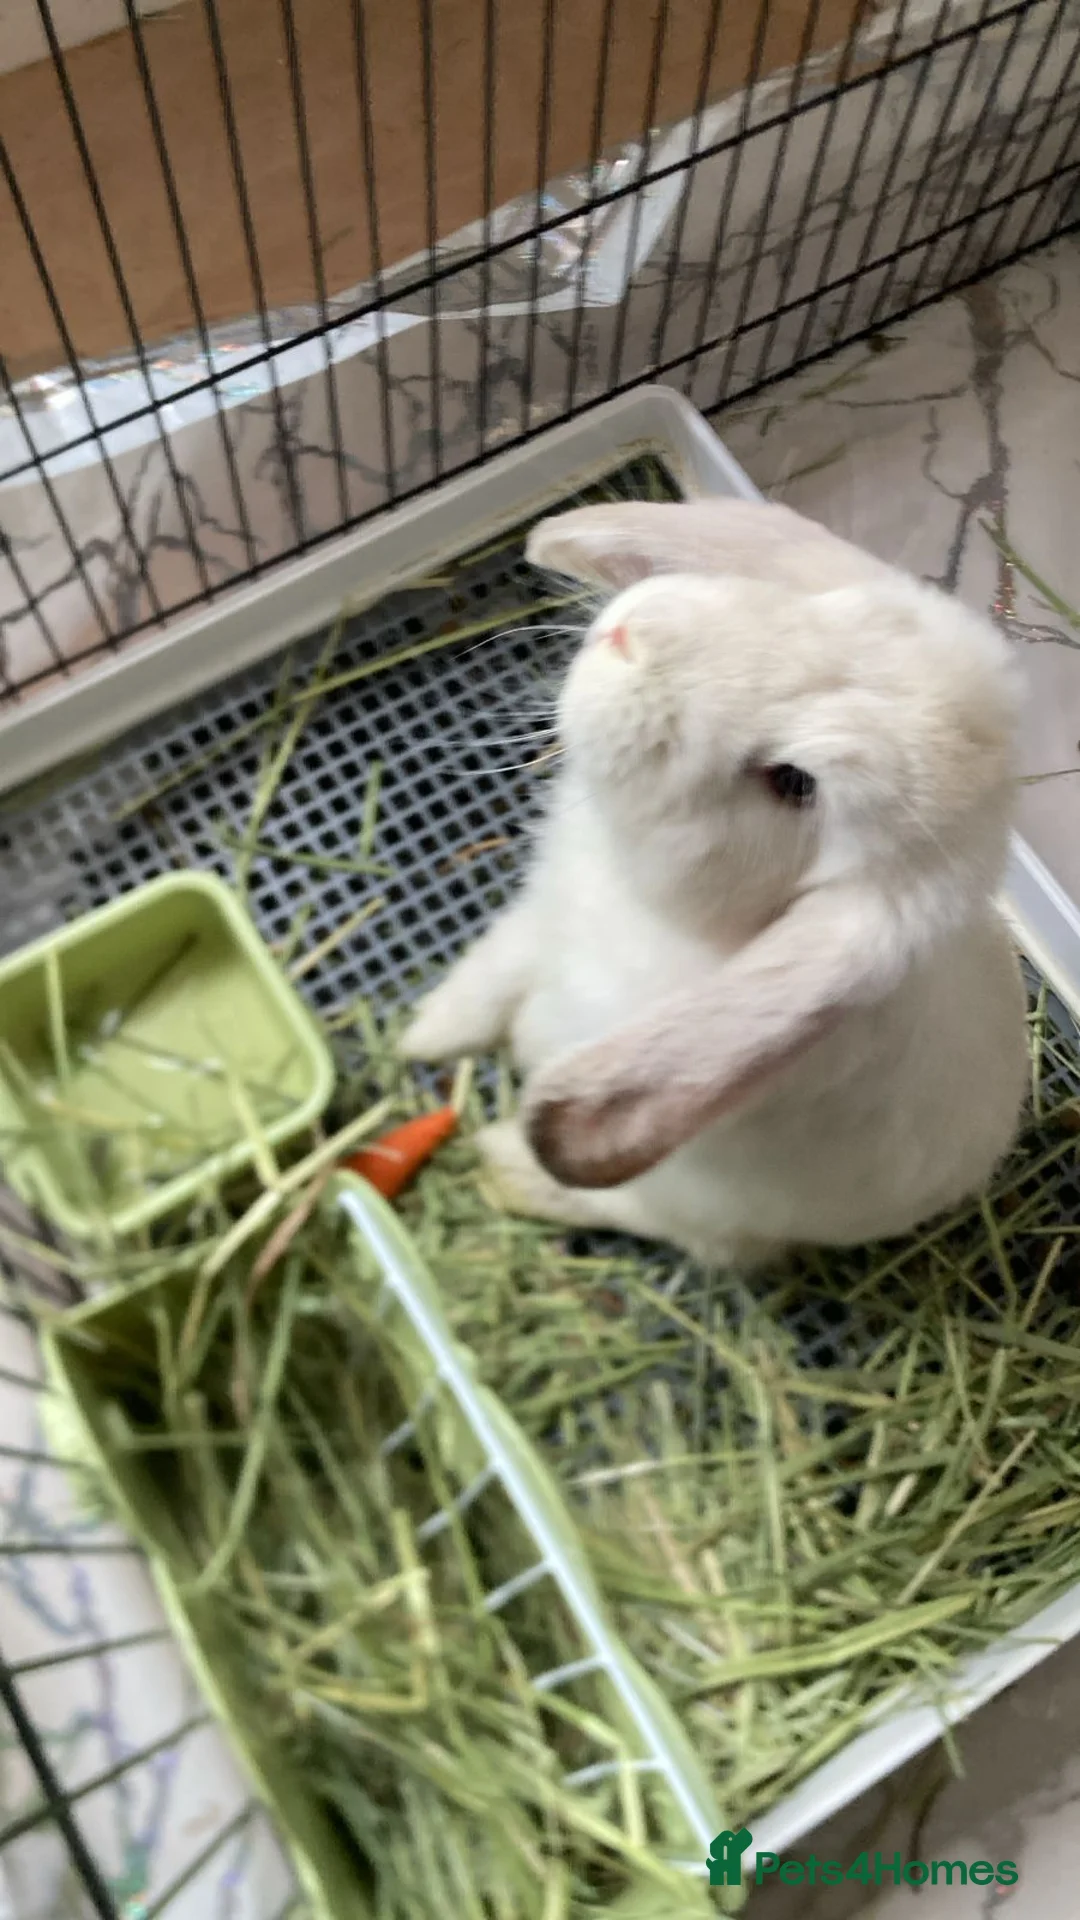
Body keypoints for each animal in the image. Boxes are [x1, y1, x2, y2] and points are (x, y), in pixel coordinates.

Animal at [400, 497, 1029, 1266]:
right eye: (838, 614)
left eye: (794, 783)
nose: (629, 636)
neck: (656, 909)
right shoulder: (535, 920)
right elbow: (485, 983)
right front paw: (422, 1037)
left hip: (697, 1208)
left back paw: (510, 1170)